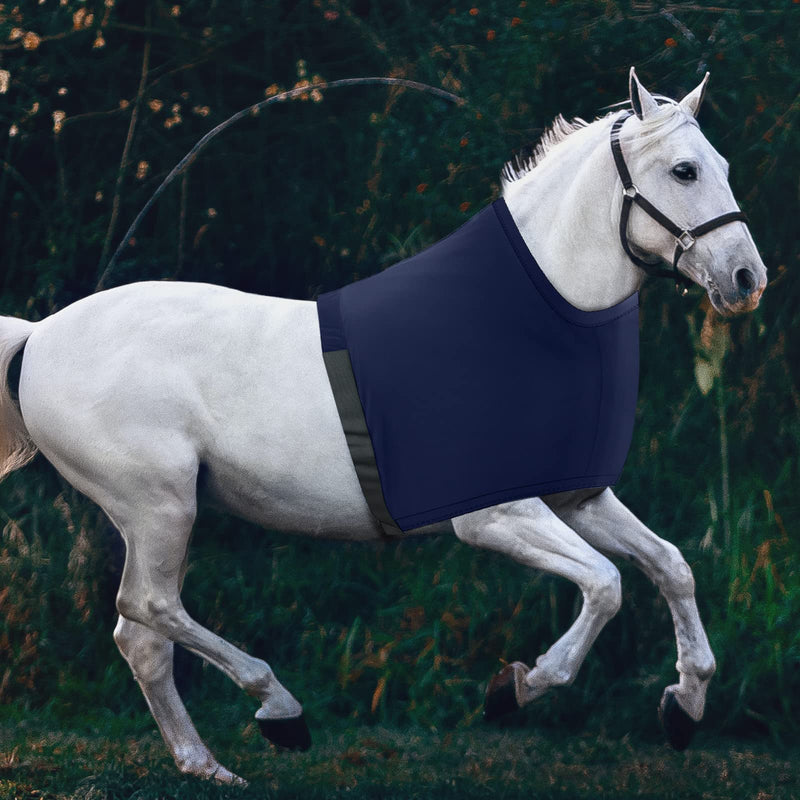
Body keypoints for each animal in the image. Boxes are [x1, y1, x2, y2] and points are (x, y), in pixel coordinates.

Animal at [0, 68, 766, 784]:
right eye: (684, 170)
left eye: (722, 165)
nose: (747, 278)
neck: (524, 322)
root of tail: (39, 337)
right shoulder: (496, 517)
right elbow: (606, 585)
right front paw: (516, 688)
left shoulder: (577, 498)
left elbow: (671, 566)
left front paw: (685, 705)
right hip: (158, 508)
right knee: (150, 607)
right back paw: (279, 709)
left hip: (160, 516)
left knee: (141, 635)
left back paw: (207, 764)